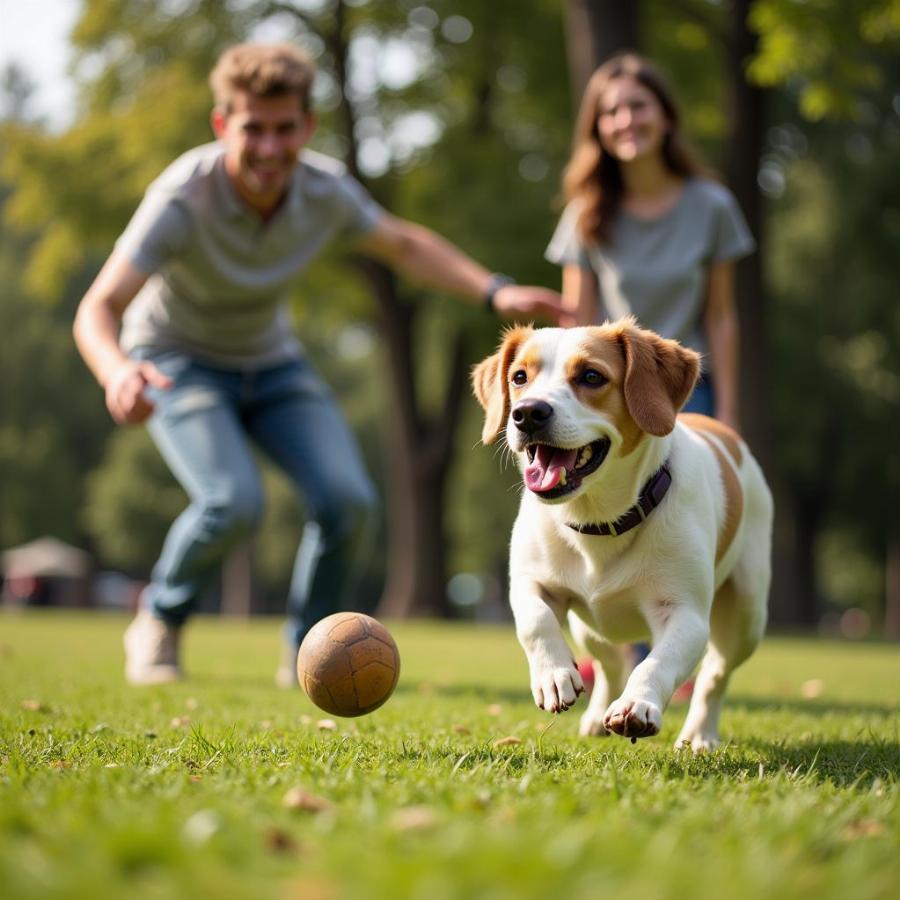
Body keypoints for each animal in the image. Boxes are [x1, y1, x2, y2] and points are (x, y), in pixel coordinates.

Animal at [472, 320, 772, 748]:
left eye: (591, 376)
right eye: (519, 377)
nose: (527, 413)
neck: (599, 524)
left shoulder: (686, 613)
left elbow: (656, 664)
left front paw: (637, 705)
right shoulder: (530, 583)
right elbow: (535, 621)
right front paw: (554, 676)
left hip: (747, 612)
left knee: (714, 674)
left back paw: (699, 734)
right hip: (590, 627)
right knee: (610, 661)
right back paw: (596, 714)